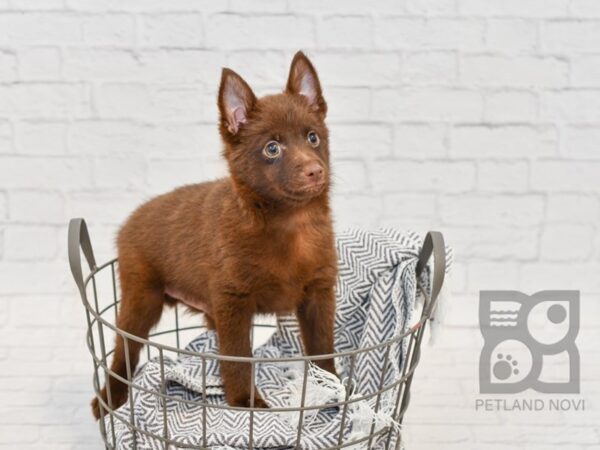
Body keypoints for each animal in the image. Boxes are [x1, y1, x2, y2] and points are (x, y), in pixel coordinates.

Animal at [93, 50, 338, 418]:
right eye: (272, 149)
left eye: (313, 137)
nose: (315, 171)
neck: (288, 222)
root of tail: (130, 221)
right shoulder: (233, 301)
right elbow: (237, 358)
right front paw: (246, 403)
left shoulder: (318, 294)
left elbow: (323, 350)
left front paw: (337, 390)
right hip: (141, 297)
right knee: (125, 350)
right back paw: (110, 397)